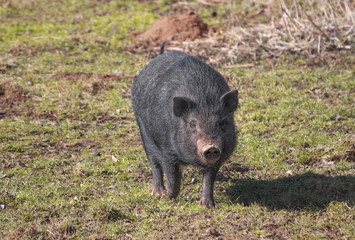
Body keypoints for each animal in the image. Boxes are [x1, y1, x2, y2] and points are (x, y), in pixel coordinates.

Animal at [131, 49, 239, 208]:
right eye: (193, 124)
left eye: (222, 123)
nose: (211, 147)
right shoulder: (167, 150)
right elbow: (172, 175)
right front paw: (169, 196)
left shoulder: (219, 157)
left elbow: (209, 179)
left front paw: (208, 206)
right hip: (144, 132)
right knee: (154, 162)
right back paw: (157, 193)